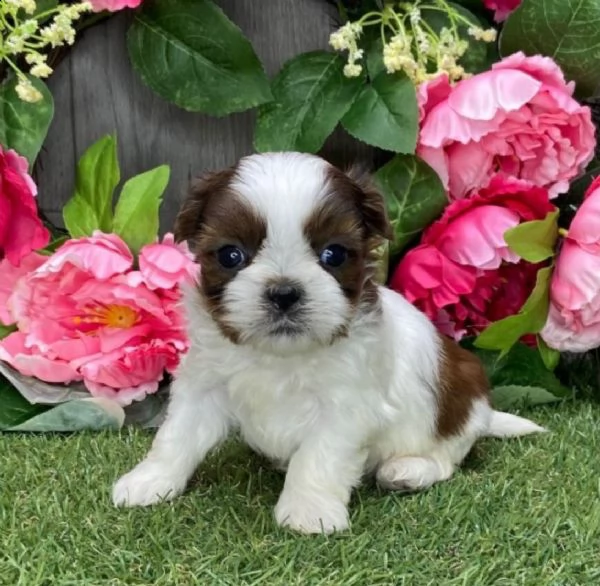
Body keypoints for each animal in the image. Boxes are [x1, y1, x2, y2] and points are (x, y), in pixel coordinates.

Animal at [111, 153, 544, 532]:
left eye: (333, 254)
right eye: (231, 255)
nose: (284, 292)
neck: (281, 355)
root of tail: (482, 411)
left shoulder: (346, 406)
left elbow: (318, 457)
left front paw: (309, 512)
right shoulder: (204, 384)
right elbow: (176, 436)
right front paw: (149, 480)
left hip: (453, 410)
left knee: (445, 459)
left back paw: (408, 469)